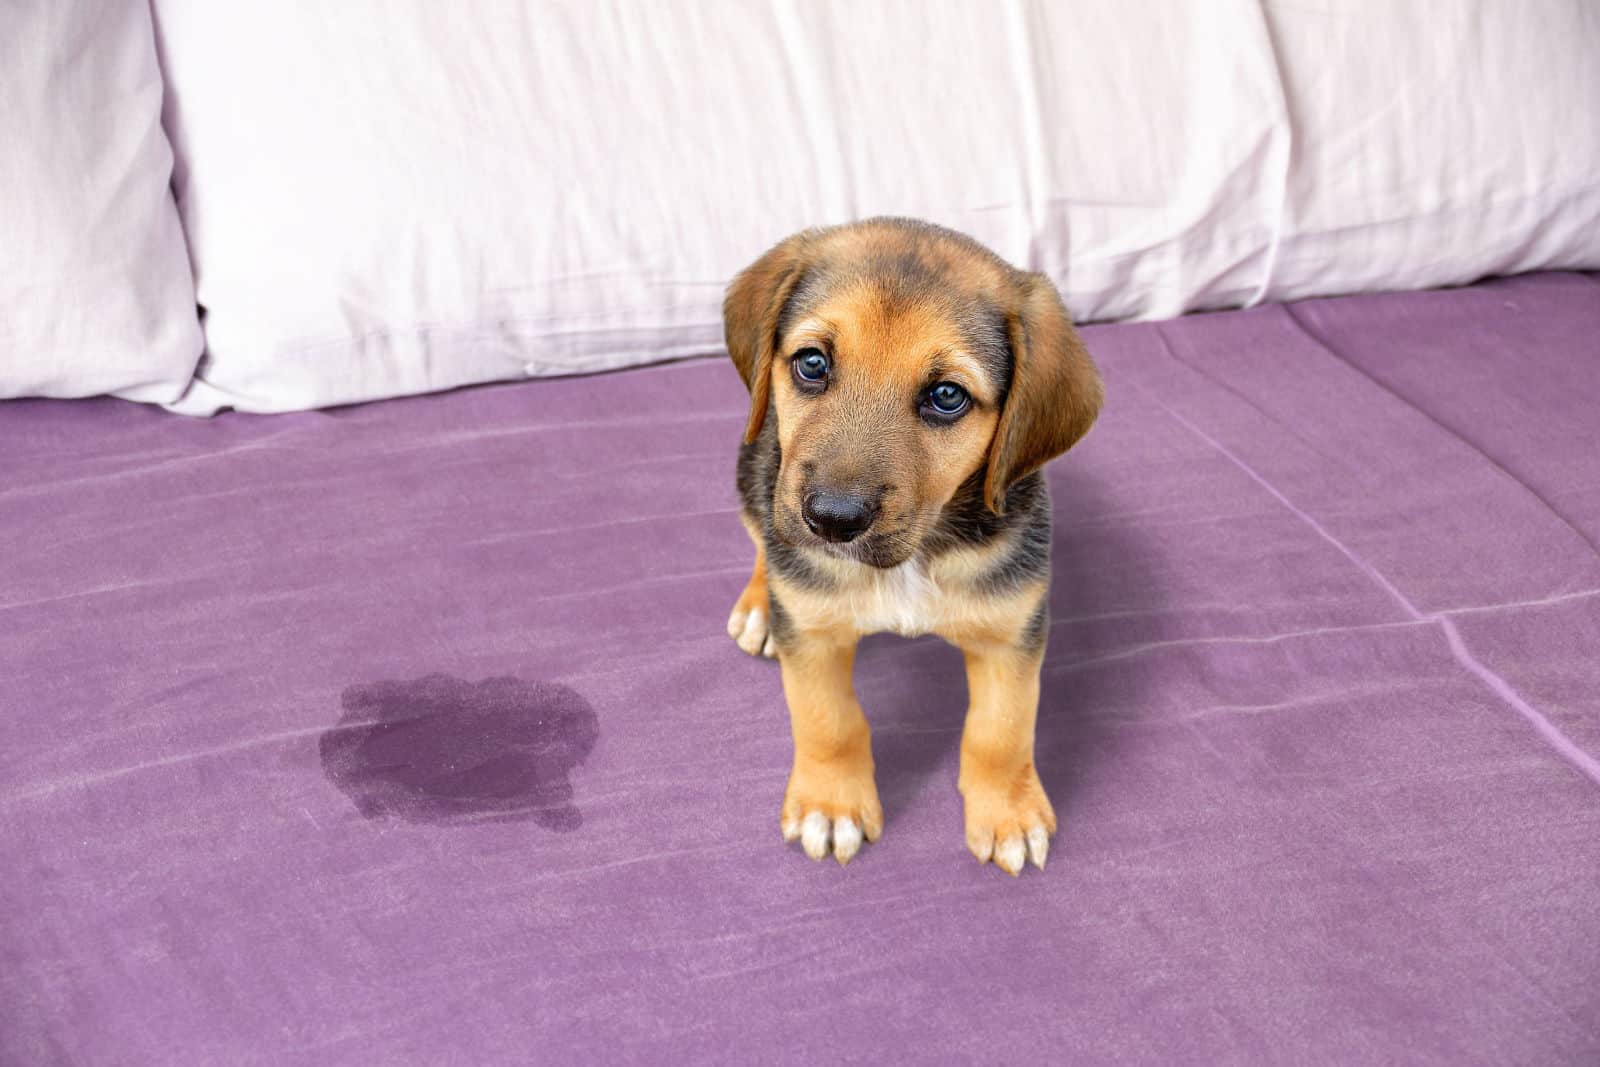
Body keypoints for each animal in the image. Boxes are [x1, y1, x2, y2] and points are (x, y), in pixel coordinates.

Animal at [723, 217, 1100, 876]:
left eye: (947, 396)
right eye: (812, 363)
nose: (831, 521)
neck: (915, 556)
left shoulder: (1011, 634)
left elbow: (1001, 731)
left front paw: (1008, 813)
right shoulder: (813, 635)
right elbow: (829, 722)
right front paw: (832, 806)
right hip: (755, 473)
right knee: (762, 539)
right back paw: (759, 606)